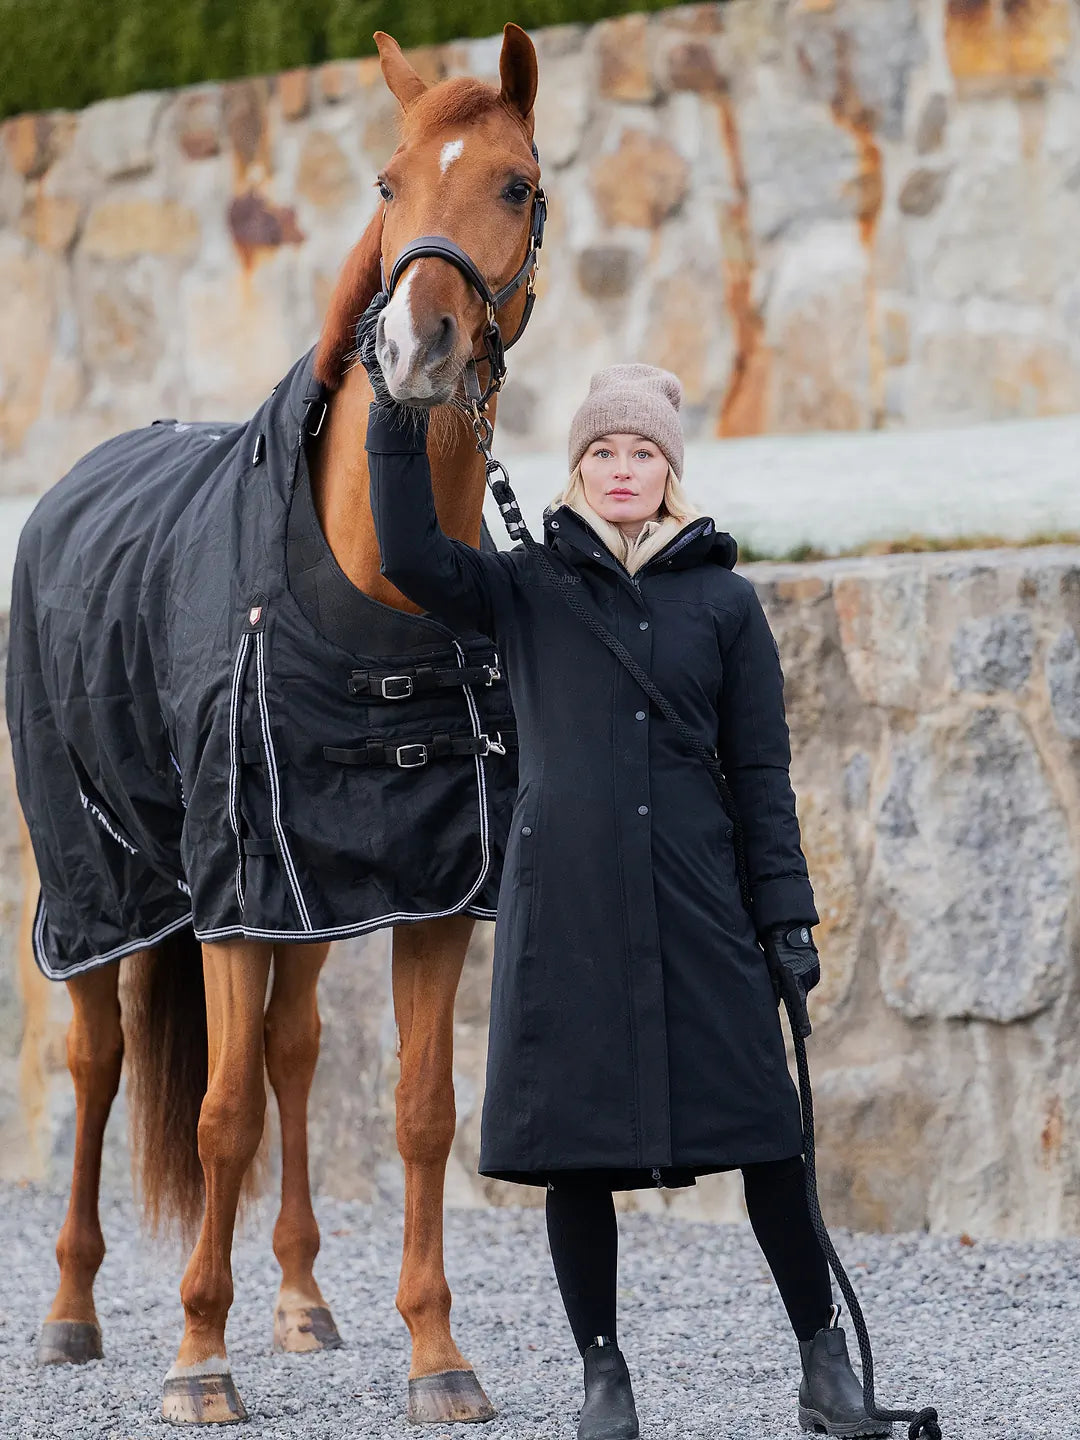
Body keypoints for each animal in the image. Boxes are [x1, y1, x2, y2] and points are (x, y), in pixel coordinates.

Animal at [11, 23, 542, 1426]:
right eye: (386, 184)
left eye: (517, 183)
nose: (417, 346)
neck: (371, 593)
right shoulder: (234, 898)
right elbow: (218, 1116)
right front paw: (198, 1357)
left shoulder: (420, 894)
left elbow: (418, 1109)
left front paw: (437, 1355)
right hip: (95, 890)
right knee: (99, 1064)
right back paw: (72, 1312)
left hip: (305, 905)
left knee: (295, 1053)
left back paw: (303, 1299)